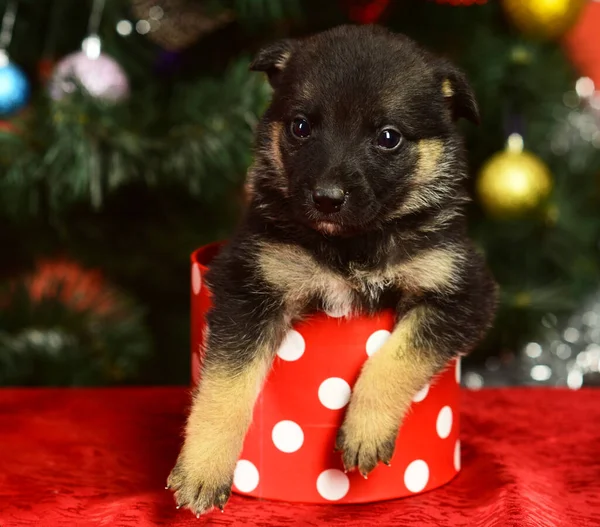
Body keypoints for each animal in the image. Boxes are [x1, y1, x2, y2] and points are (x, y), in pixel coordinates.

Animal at [168, 23, 496, 516]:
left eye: (388, 137)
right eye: (301, 127)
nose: (326, 198)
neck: (350, 244)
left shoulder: (463, 290)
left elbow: (398, 357)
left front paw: (364, 431)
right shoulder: (247, 285)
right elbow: (225, 386)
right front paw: (202, 469)